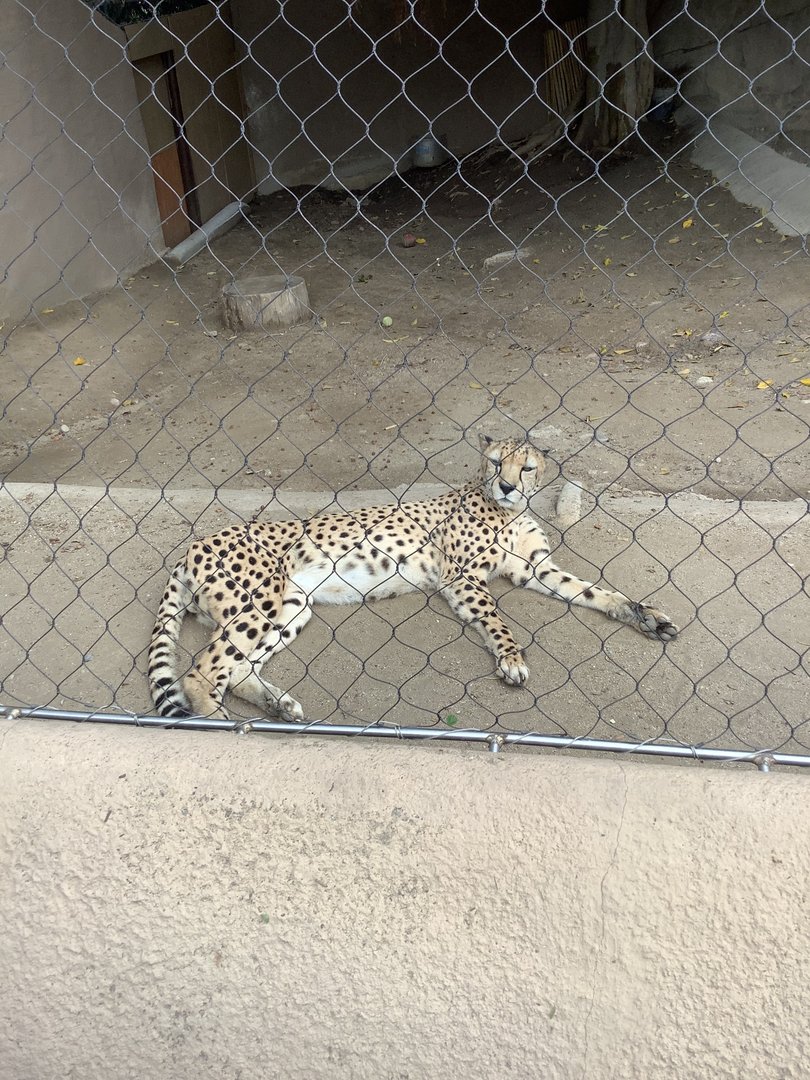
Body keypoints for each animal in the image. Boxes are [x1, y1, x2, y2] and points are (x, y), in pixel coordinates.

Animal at [148, 435, 678, 722]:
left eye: (526, 467)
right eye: (495, 462)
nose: (507, 485)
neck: (506, 508)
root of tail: (193, 544)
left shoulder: (535, 569)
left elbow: (596, 590)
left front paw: (644, 615)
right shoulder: (461, 576)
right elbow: (496, 618)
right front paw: (511, 658)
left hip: (292, 608)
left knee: (233, 670)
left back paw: (277, 705)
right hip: (260, 604)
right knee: (200, 670)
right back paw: (228, 727)